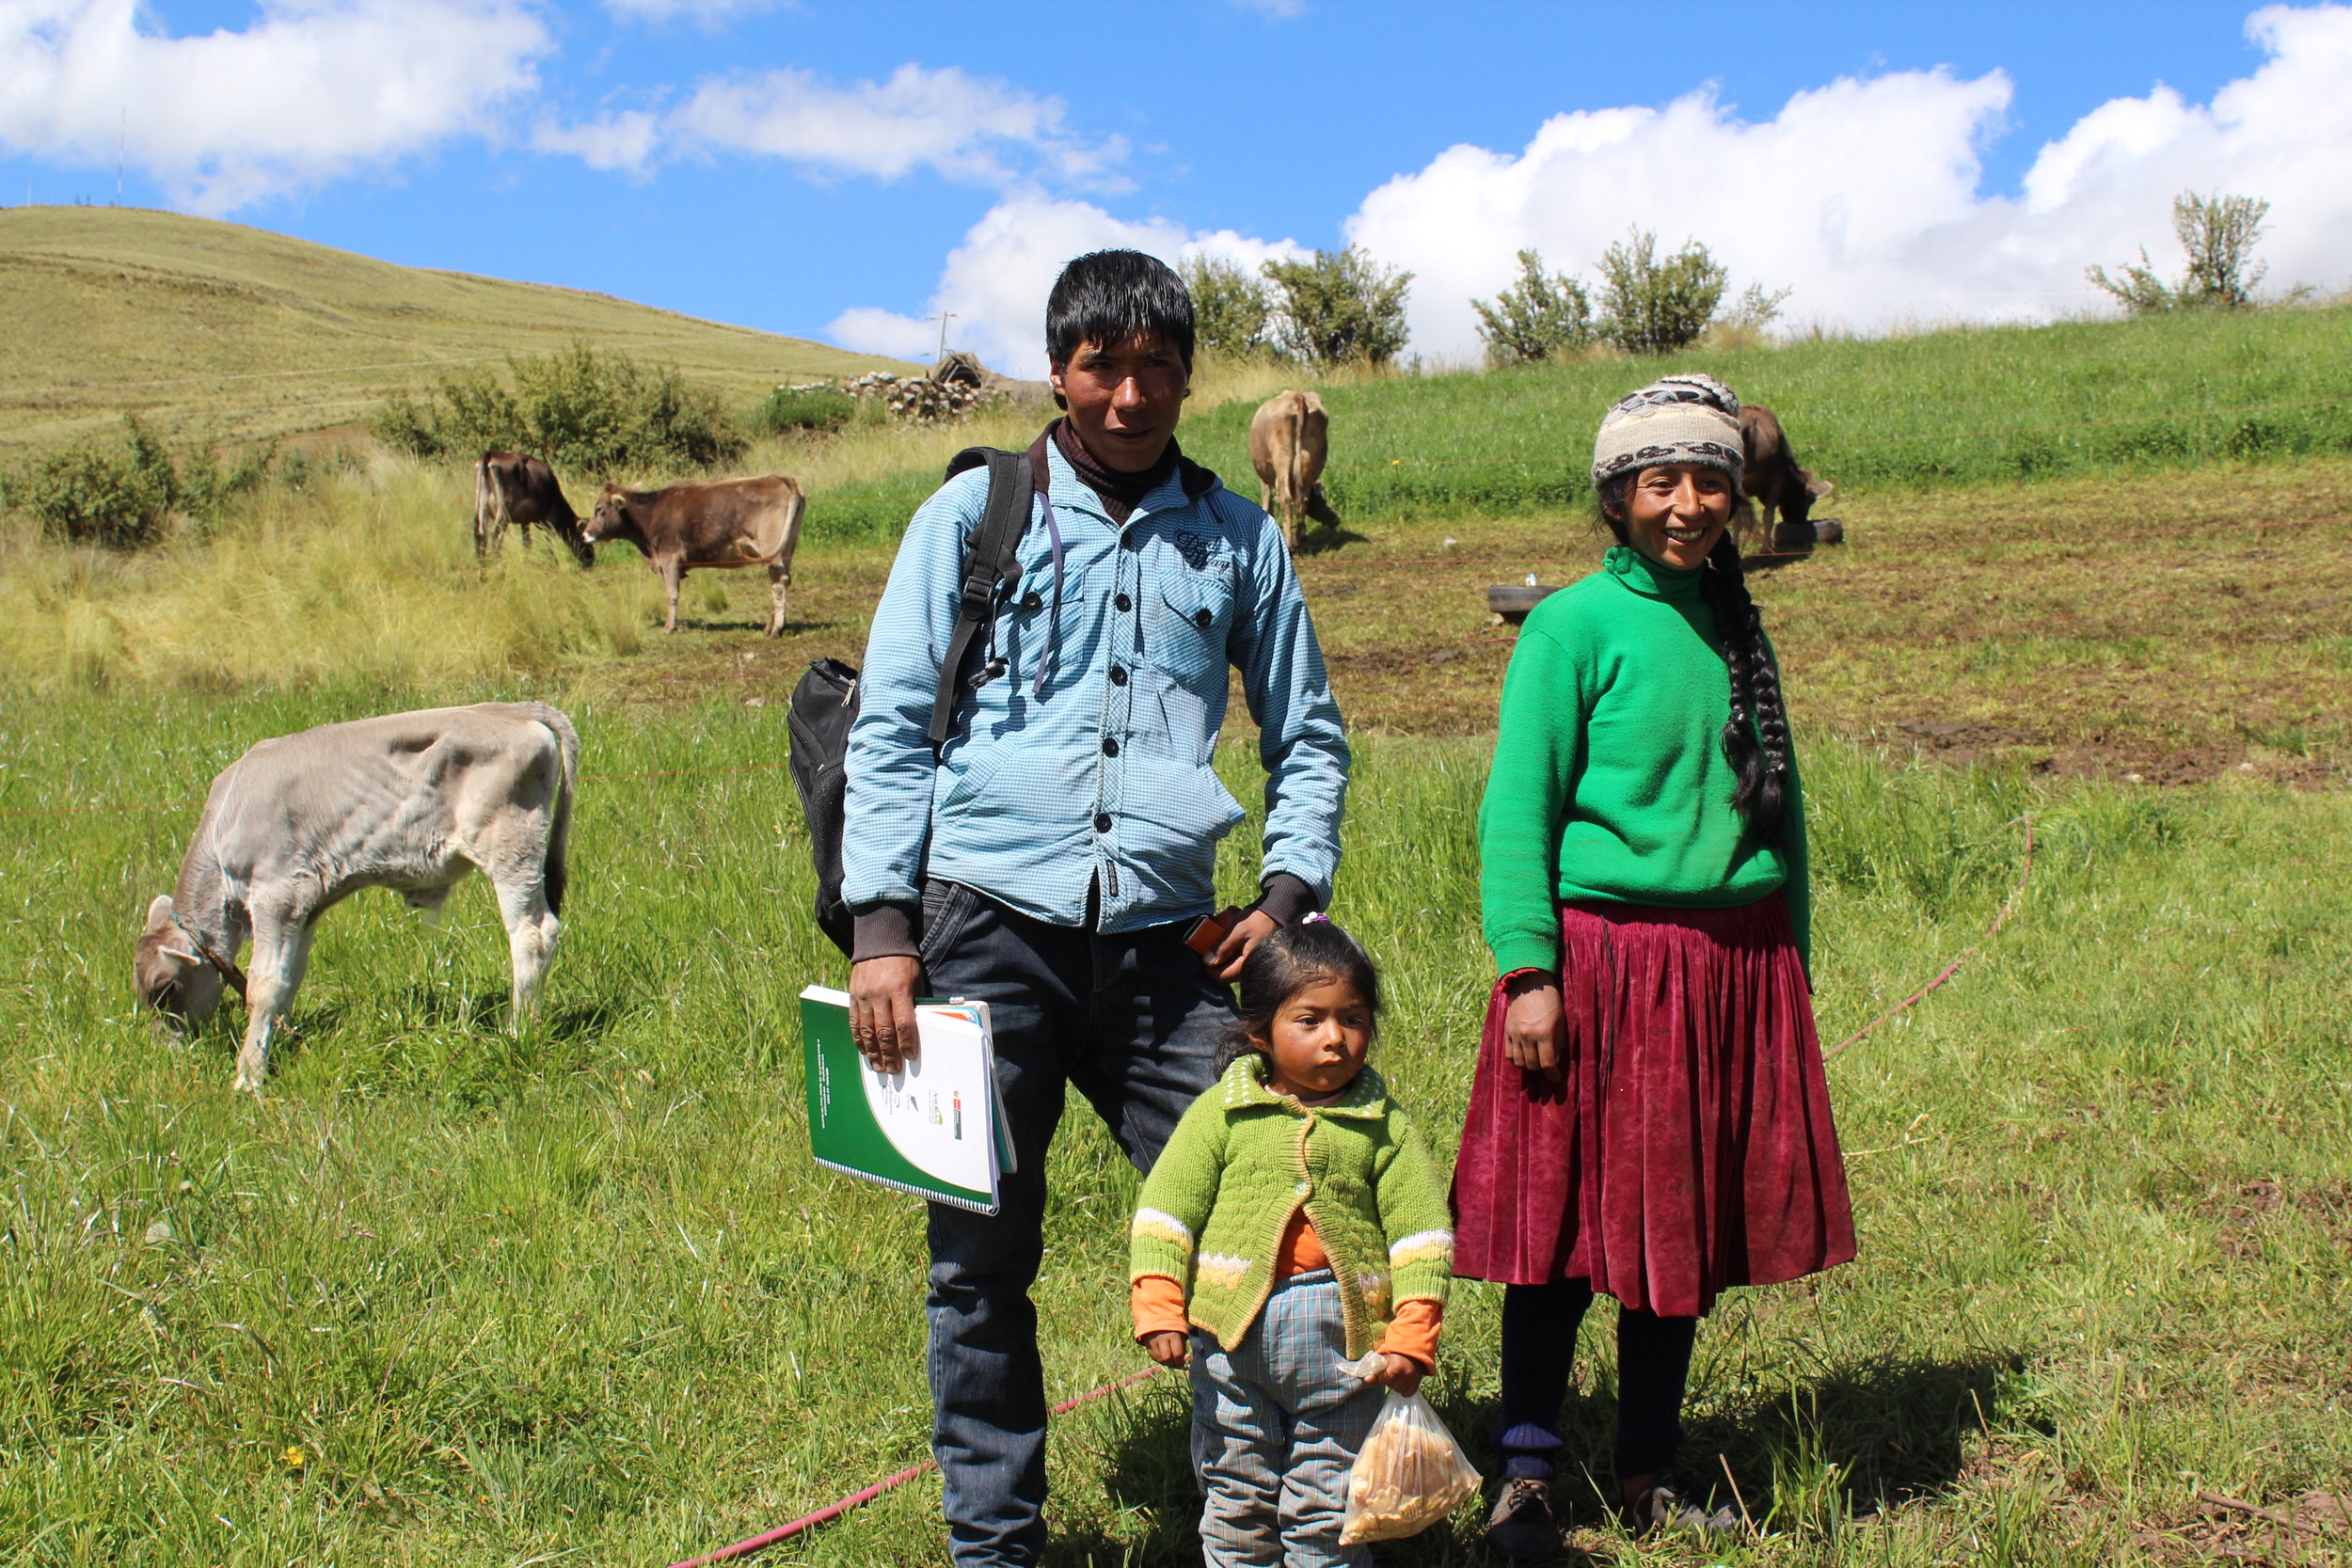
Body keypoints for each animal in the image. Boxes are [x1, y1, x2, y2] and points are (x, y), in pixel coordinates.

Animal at [136, 705, 579, 1100]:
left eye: (164, 989)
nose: (169, 1053)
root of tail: (512, 709)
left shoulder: (275, 895)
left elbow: (264, 984)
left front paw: (249, 1076)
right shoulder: (305, 908)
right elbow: (291, 975)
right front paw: (280, 1037)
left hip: (510, 852)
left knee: (533, 935)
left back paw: (516, 1031)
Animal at [472, 451, 593, 566]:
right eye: (584, 539)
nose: (591, 558)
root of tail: (490, 454)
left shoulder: (525, 520)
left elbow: (527, 542)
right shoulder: (550, 519)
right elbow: (547, 542)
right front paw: (552, 563)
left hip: (481, 506)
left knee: (480, 535)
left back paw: (482, 571)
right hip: (504, 511)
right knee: (495, 536)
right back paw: (500, 570)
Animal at [585, 472, 809, 639]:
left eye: (599, 508)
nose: (586, 533)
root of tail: (782, 479)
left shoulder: (669, 557)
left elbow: (672, 593)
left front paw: (669, 627)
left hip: (772, 549)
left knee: (778, 584)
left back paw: (776, 630)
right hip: (787, 547)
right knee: (783, 582)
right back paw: (771, 626)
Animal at [1251, 389, 1345, 549]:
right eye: (1322, 497)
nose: (1336, 519)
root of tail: (1297, 396)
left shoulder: (1264, 478)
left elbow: (1267, 502)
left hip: (1282, 456)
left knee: (1286, 498)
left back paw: (1289, 543)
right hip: (1309, 458)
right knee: (1302, 497)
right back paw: (1299, 537)